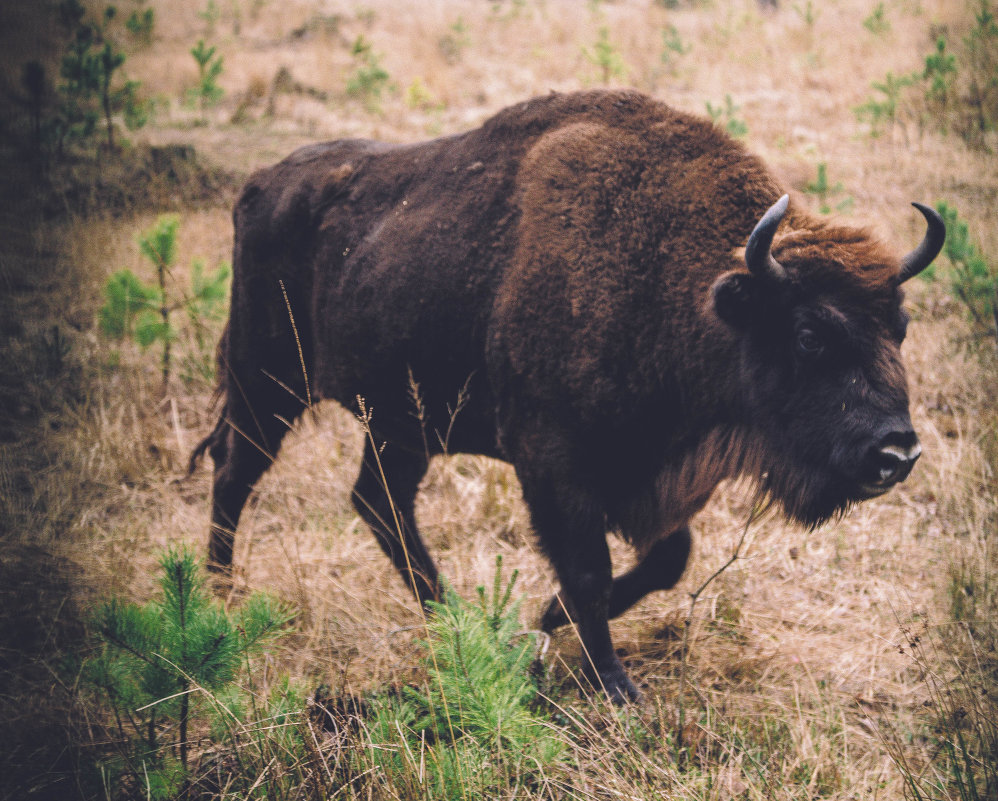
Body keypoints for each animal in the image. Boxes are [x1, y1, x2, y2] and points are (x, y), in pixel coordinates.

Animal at [193, 89, 944, 700]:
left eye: (900, 326)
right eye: (811, 333)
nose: (896, 452)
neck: (682, 286)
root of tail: (260, 183)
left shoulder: (650, 475)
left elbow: (667, 558)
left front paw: (546, 617)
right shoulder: (554, 466)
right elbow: (589, 568)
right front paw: (613, 684)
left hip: (401, 421)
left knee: (377, 501)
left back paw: (452, 617)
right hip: (269, 383)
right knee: (238, 472)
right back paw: (220, 595)